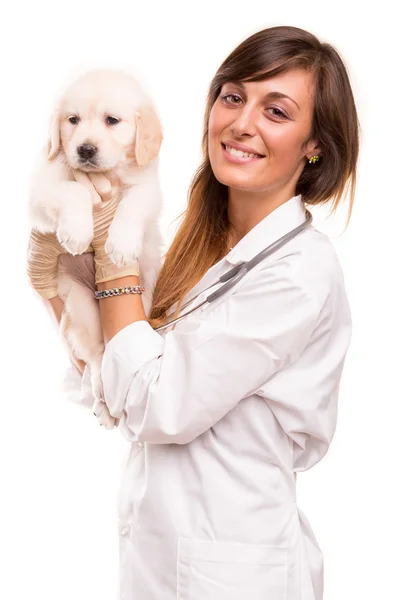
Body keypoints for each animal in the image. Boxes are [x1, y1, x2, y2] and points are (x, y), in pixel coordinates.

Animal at [27, 69, 164, 426]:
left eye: (111, 120)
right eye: (72, 120)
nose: (85, 150)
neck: (108, 173)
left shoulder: (148, 188)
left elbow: (132, 204)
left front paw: (120, 245)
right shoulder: (42, 189)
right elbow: (73, 190)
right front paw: (77, 231)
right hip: (83, 310)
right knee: (98, 359)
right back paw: (104, 405)